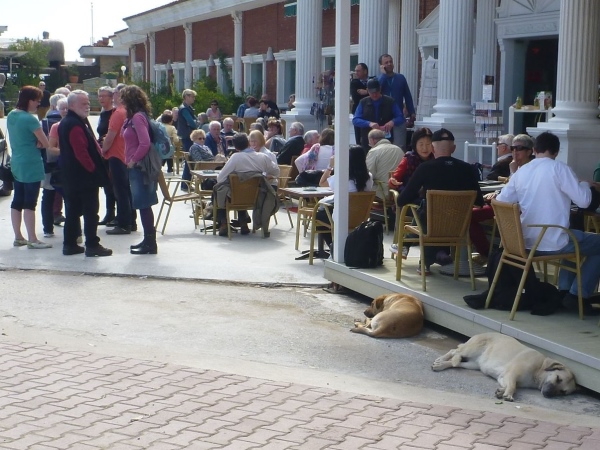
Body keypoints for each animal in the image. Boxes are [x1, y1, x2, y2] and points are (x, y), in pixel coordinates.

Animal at [431, 332, 576, 401]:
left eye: (563, 392)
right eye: (558, 379)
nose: (548, 394)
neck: (539, 369)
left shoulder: (503, 377)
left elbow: (510, 385)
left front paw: (502, 391)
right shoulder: (511, 374)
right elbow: (513, 386)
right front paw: (508, 394)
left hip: (473, 364)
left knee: (456, 362)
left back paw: (442, 364)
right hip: (470, 350)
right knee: (454, 351)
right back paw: (441, 361)